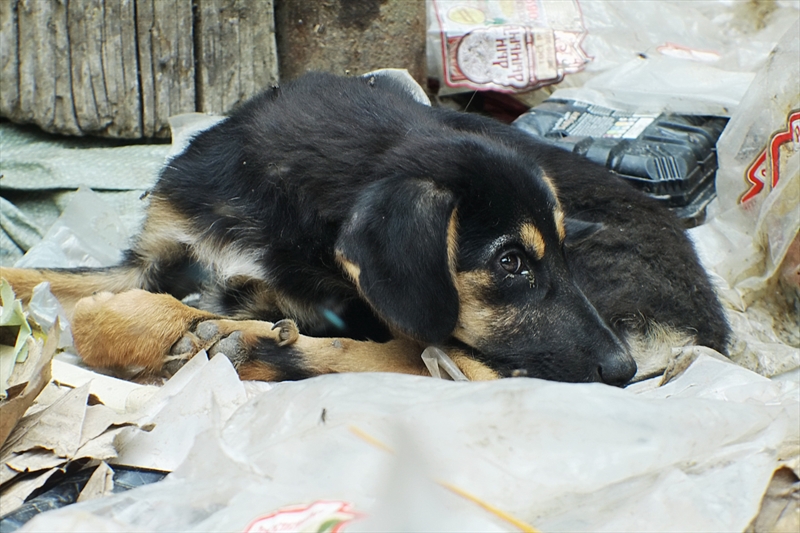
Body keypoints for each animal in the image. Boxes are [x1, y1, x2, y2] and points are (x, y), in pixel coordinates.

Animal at [0, 72, 732, 384]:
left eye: (558, 255)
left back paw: (237, 344)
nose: (620, 369)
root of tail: (707, 326)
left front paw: (159, 327)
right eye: (511, 263)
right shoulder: (153, 254)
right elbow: (37, 273)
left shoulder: (348, 310)